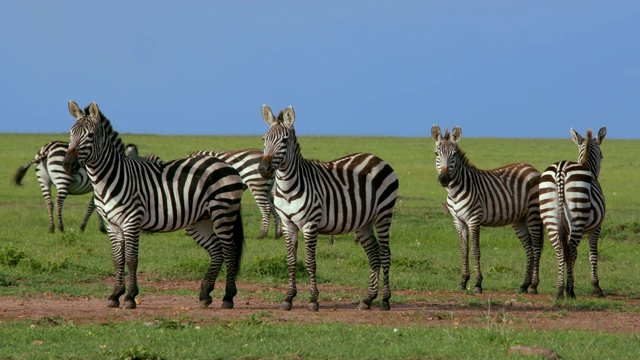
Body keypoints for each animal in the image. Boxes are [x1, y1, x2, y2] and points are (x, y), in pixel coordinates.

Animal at [63, 100, 245, 310]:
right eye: (71, 134)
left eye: (90, 135)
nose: (67, 164)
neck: (108, 179)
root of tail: (223, 163)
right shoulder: (112, 224)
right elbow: (117, 260)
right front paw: (115, 295)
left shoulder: (131, 221)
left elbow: (131, 260)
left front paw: (130, 297)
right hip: (200, 220)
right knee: (217, 251)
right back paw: (205, 293)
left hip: (223, 211)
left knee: (229, 251)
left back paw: (228, 297)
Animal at [258, 105, 398, 312]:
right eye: (264, 139)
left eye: (284, 140)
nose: (263, 169)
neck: (288, 188)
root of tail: (376, 158)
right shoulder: (287, 224)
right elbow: (291, 261)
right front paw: (288, 298)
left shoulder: (310, 224)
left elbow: (310, 262)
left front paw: (313, 300)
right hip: (364, 222)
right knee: (374, 254)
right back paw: (367, 299)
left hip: (383, 214)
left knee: (385, 253)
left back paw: (385, 301)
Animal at [432, 125, 544, 294]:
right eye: (436, 154)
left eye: (454, 155)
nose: (444, 179)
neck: (455, 191)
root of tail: (531, 167)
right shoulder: (458, 221)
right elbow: (464, 250)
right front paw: (463, 282)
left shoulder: (474, 219)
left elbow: (475, 250)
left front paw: (478, 284)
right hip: (519, 219)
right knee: (529, 248)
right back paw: (524, 285)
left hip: (533, 213)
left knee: (536, 246)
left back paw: (533, 286)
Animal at [536, 126, 608, 298]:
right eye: (602, 155)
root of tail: (561, 170)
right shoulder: (597, 228)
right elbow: (592, 254)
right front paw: (596, 287)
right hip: (576, 216)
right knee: (570, 250)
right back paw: (569, 291)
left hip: (550, 215)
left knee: (560, 250)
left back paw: (559, 290)